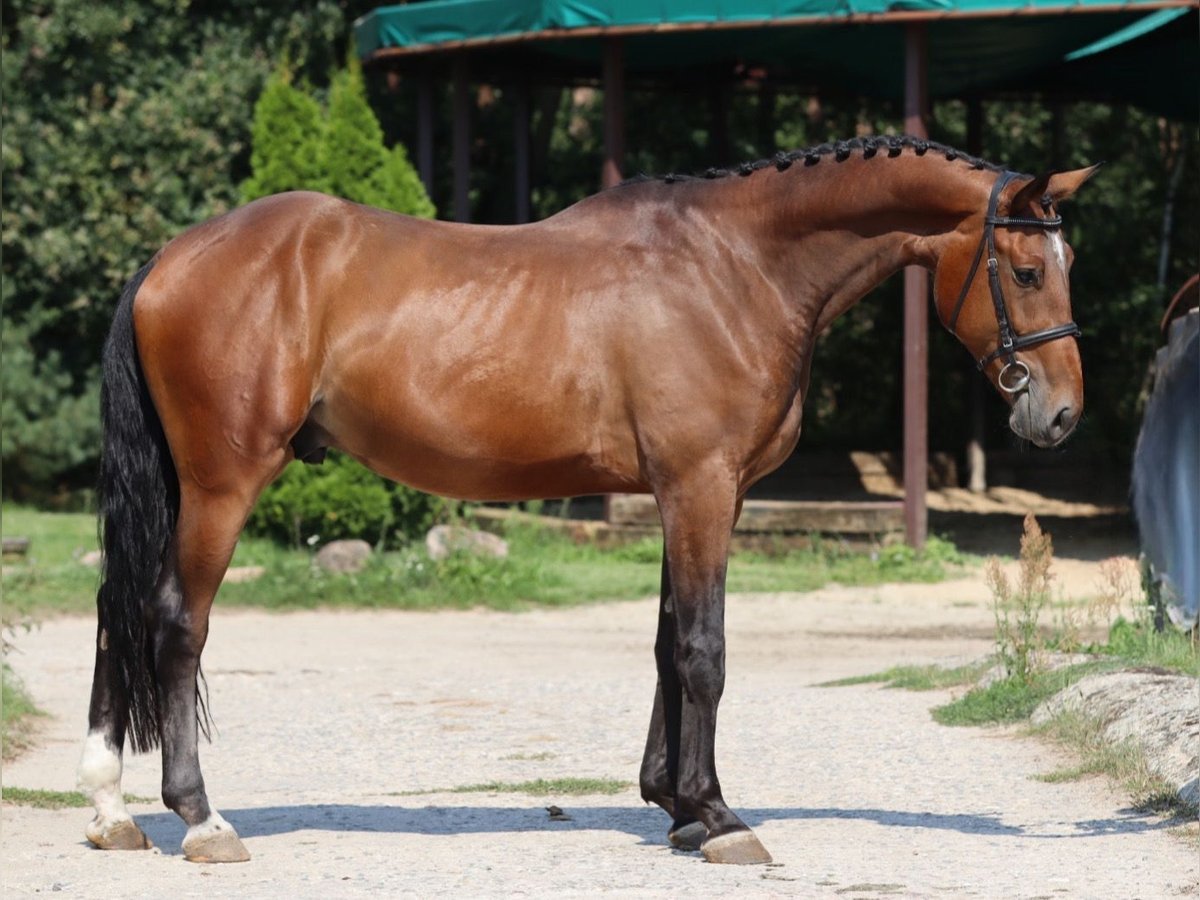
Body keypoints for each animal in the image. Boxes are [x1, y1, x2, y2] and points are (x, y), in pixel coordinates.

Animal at [77, 139, 1099, 868]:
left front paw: (678, 807)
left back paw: (110, 810)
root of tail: (170, 259)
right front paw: (720, 816)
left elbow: (666, 646)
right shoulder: (699, 486)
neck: (735, 265)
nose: (1060, 415)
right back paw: (201, 819)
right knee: (175, 624)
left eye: (1067, 263)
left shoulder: (690, 493)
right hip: (223, 484)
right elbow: (703, 652)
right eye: (1027, 270)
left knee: (117, 613)